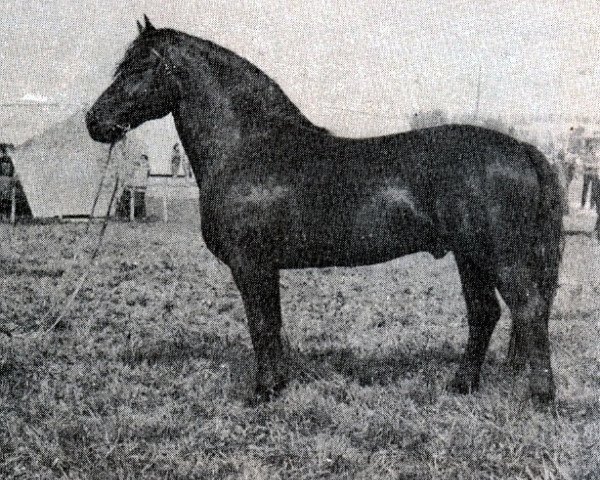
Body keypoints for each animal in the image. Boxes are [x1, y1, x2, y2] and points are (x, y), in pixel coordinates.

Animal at [86, 15, 564, 404]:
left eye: (139, 66)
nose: (95, 121)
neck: (249, 146)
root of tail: (522, 149)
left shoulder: (250, 264)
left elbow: (261, 325)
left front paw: (262, 392)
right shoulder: (264, 266)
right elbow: (272, 324)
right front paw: (277, 385)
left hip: (502, 257)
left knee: (529, 309)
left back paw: (540, 397)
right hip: (471, 257)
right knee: (485, 314)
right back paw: (461, 385)